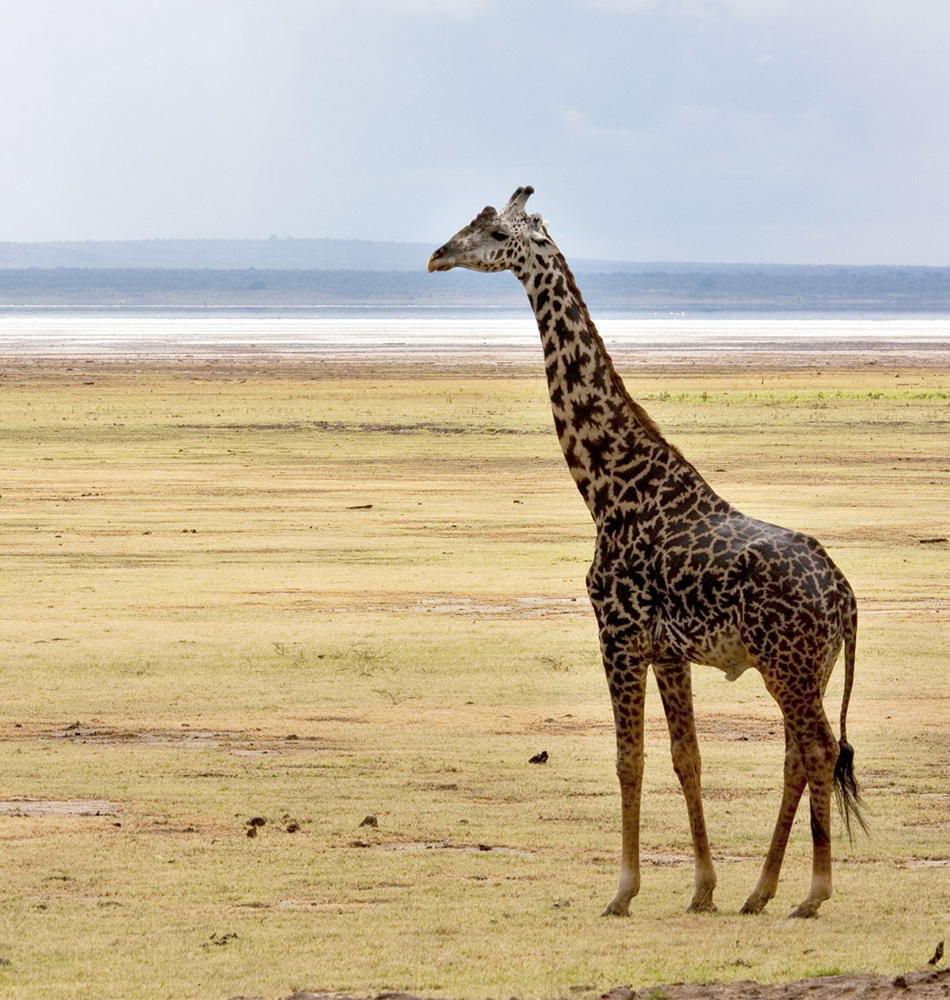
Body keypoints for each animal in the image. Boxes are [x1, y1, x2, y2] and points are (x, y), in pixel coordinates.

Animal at [428, 184, 868, 916]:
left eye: (491, 231)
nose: (437, 255)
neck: (608, 488)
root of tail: (848, 599)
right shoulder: (669, 650)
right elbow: (687, 758)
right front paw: (703, 888)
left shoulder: (618, 633)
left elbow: (627, 758)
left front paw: (623, 890)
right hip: (809, 668)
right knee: (797, 754)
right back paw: (760, 891)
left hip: (790, 664)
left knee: (818, 750)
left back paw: (812, 892)